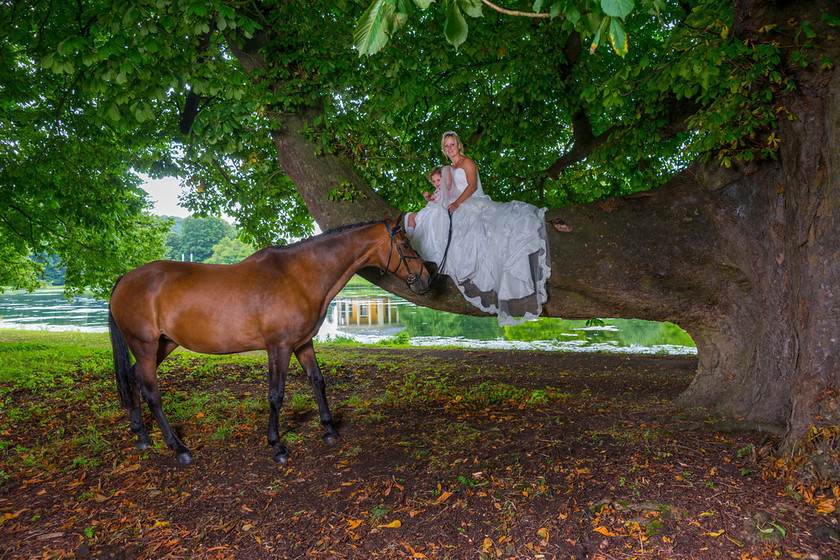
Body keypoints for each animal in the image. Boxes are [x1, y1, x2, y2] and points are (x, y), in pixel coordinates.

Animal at [108, 214, 430, 464]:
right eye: (405, 244)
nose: (427, 279)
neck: (297, 276)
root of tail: (125, 279)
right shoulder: (279, 348)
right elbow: (276, 395)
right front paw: (277, 445)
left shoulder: (303, 344)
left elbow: (318, 381)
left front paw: (329, 430)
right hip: (145, 346)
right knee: (152, 394)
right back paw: (179, 448)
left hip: (164, 344)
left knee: (133, 377)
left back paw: (141, 435)